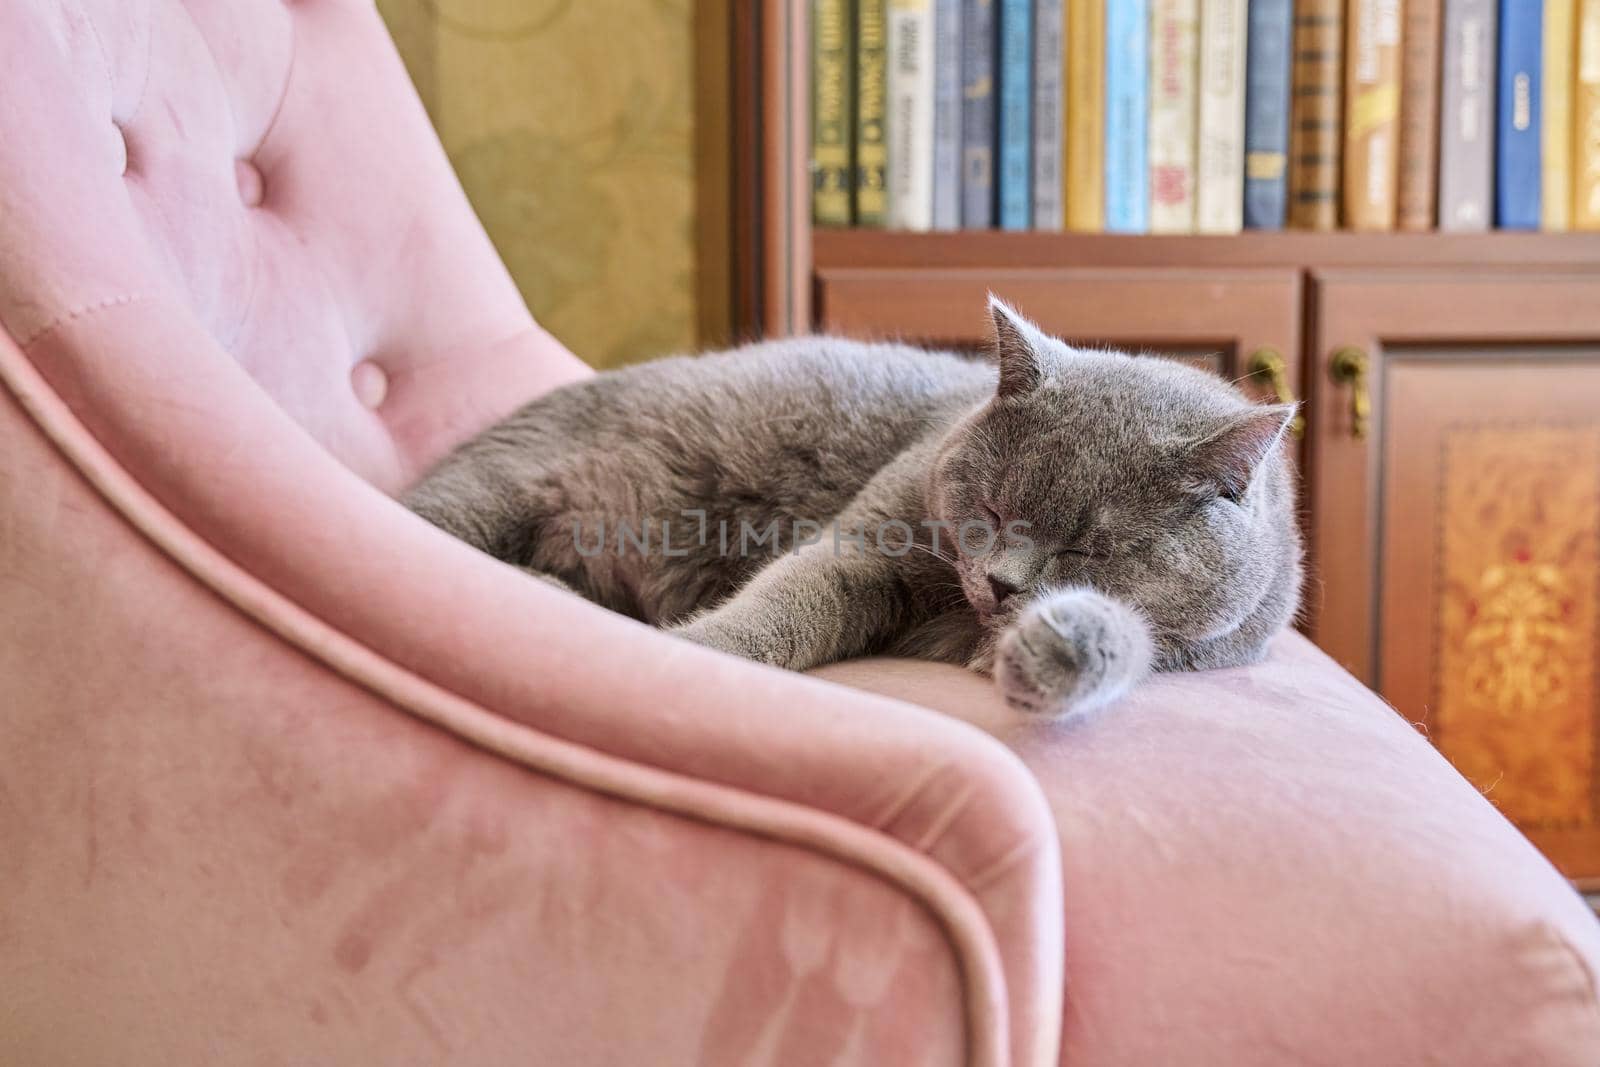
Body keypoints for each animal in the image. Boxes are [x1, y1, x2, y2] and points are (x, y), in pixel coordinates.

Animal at [400, 300, 1299, 716]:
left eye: (1091, 549)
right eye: (992, 510)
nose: (1003, 584)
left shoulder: (1194, 652)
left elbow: (1125, 641)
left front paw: (1050, 652)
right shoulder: (867, 541)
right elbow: (787, 602)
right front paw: (690, 653)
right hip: (493, 492)